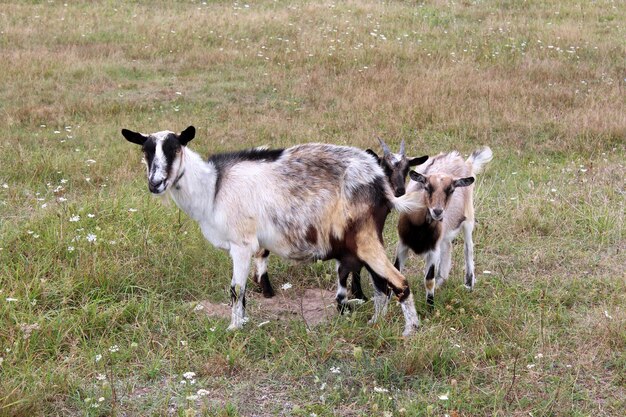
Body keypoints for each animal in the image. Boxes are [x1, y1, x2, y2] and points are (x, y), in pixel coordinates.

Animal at [251, 136, 426, 306]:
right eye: (387, 168)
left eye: (407, 169)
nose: (400, 190)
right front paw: (359, 294)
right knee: (261, 252)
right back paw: (266, 291)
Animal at [392, 146, 490, 306]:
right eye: (427, 187)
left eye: (451, 190)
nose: (437, 211)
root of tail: (463, 161)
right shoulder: (403, 245)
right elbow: (397, 272)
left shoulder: (433, 250)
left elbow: (428, 279)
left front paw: (430, 306)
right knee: (447, 247)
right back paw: (441, 280)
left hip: (468, 217)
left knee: (468, 247)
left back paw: (468, 284)